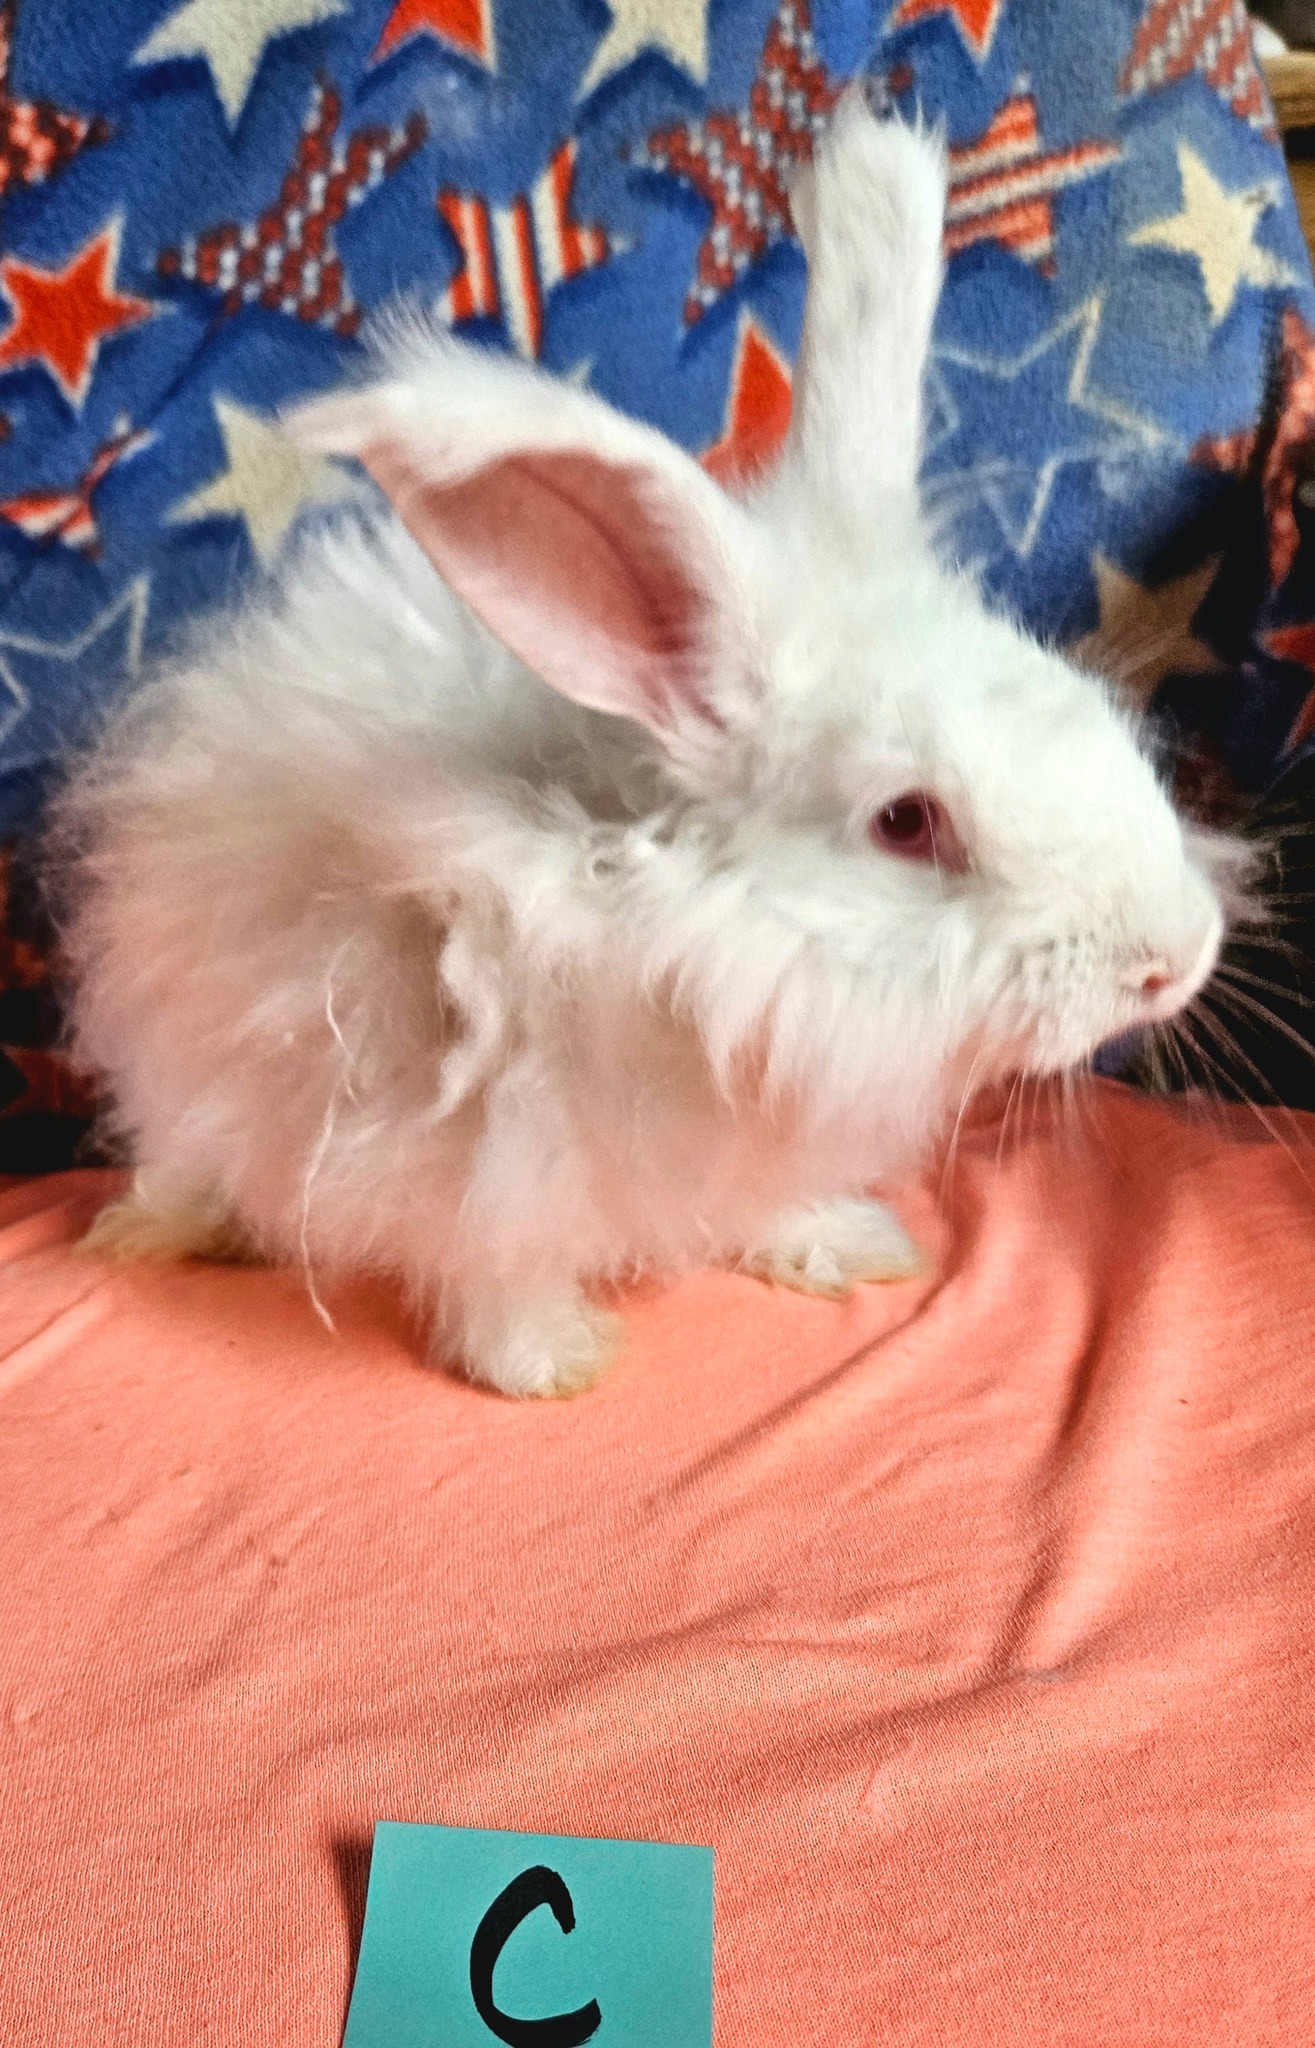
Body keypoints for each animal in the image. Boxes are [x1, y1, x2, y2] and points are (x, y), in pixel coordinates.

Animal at [51, 88, 1233, 1398]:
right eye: (907, 821)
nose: (1175, 958)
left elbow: (763, 1208)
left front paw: (842, 1244)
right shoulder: (474, 1138)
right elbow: (491, 1261)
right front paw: (545, 1362)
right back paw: (160, 1225)